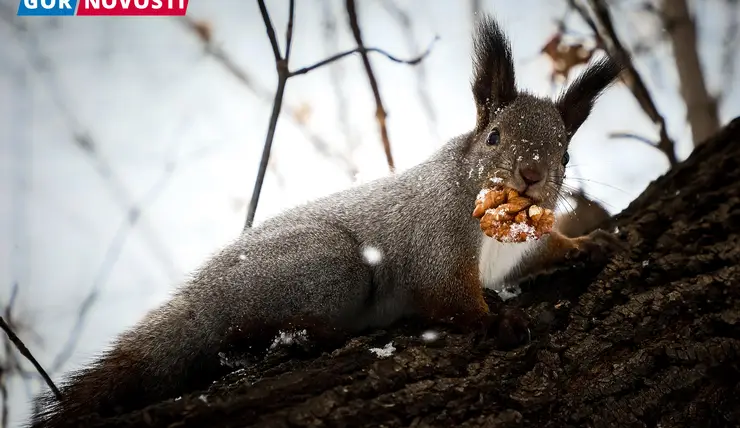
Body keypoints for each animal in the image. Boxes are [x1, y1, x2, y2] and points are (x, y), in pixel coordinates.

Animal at [33, 15, 624, 426]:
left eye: (566, 154)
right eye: (495, 137)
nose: (531, 174)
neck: (496, 226)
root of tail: (203, 296)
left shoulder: (518, 252)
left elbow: (543, 251)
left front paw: (588, 244)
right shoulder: (437, 239)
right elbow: (446, 295)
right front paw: (494, 321)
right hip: (332, 267)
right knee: (244, 329)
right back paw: (310, 334)